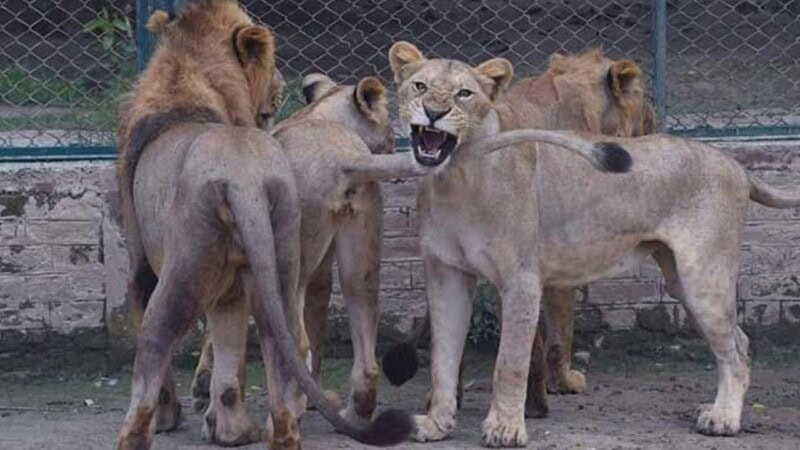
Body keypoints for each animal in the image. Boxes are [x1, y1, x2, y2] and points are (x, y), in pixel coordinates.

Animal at [114, 2, 413, 448]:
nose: (281, 80)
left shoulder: (146, 266)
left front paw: (196, 409)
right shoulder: (307, 273)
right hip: (346, 261)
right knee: (347, 343)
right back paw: (337, 415)